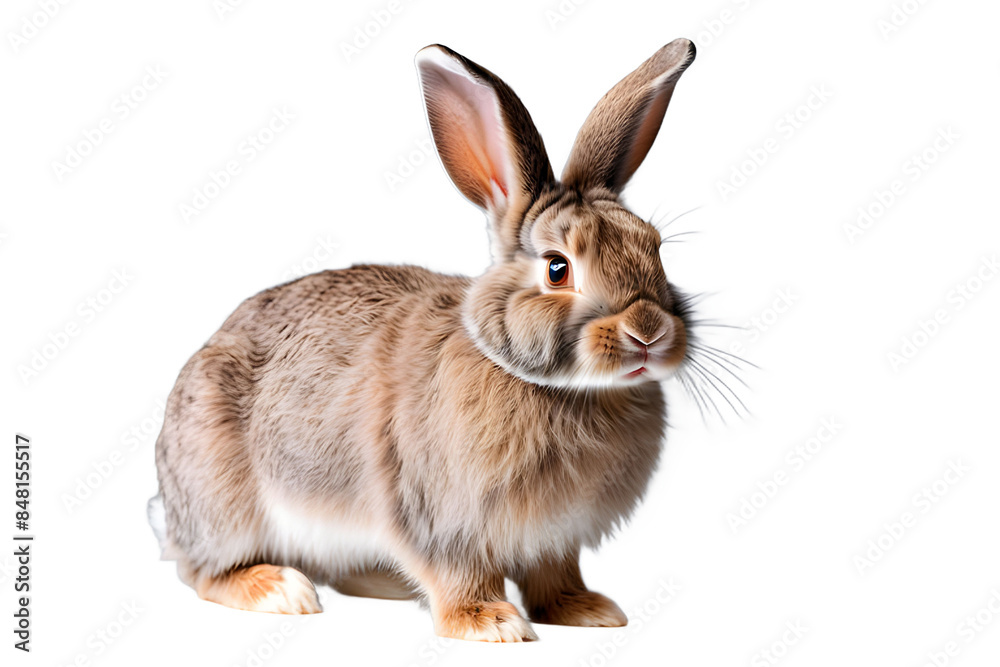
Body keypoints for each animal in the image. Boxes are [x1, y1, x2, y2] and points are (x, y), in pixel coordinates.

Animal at [150, 38, 697, 642]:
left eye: (656, 248)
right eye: (558, 269)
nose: (648, 332)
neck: (561, 388)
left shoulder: (556, 538)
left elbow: (556, 577)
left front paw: (588, 611)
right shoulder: (438, 518)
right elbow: (460, 575)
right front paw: (490, 624)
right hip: (223, 502)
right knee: (203, 572)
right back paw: (279, 590)